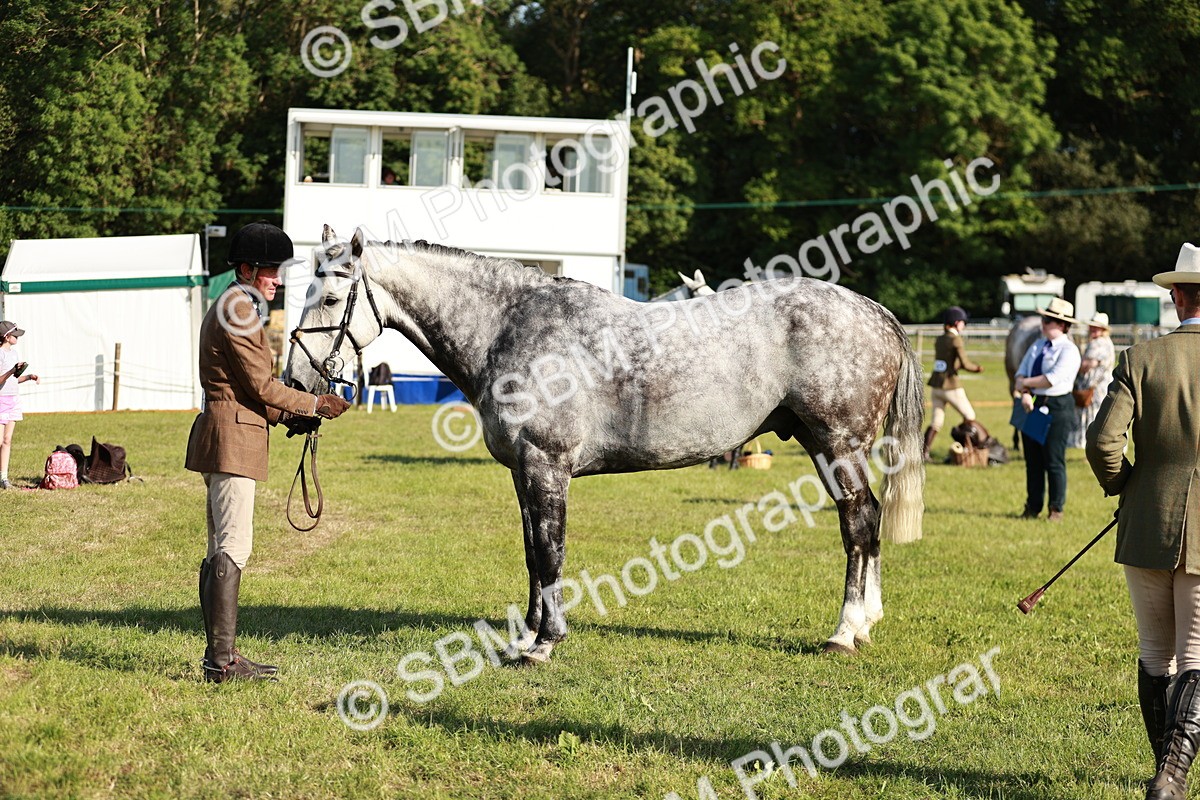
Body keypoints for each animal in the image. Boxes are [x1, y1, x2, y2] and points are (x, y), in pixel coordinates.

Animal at [285, 226, 926, 663]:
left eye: (328, 297)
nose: (296, 379)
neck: (511, 326)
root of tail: (876, 312)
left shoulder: (546, 466)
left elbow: (551, 551)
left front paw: (545, 643)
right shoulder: (523, 473)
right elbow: (532, 553)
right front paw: (527, 634)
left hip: (838, 445)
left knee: (859, 522)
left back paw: (844, 631)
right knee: (865, 520)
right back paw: (866, 622)